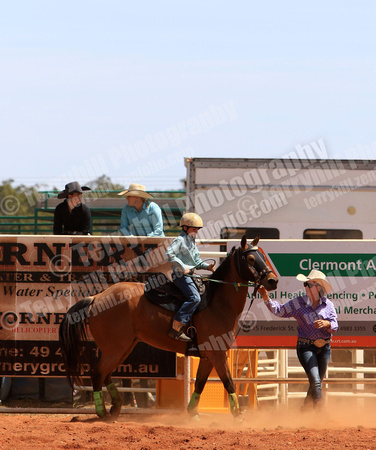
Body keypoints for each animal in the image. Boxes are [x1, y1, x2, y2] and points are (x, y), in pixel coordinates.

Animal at [58, 236, 276, 418]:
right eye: (250, 259)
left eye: (263, 255)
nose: (272, 280)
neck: (218, 301)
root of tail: (96, 298)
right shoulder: (217, 353)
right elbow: (228, 382)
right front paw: (238, 416)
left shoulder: (208, 355)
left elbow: (200, 383)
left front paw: (193, 413)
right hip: (115, 349)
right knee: (98, 373)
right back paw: (103, 412)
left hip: (123, 347)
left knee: (106, 374)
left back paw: (116, 407)